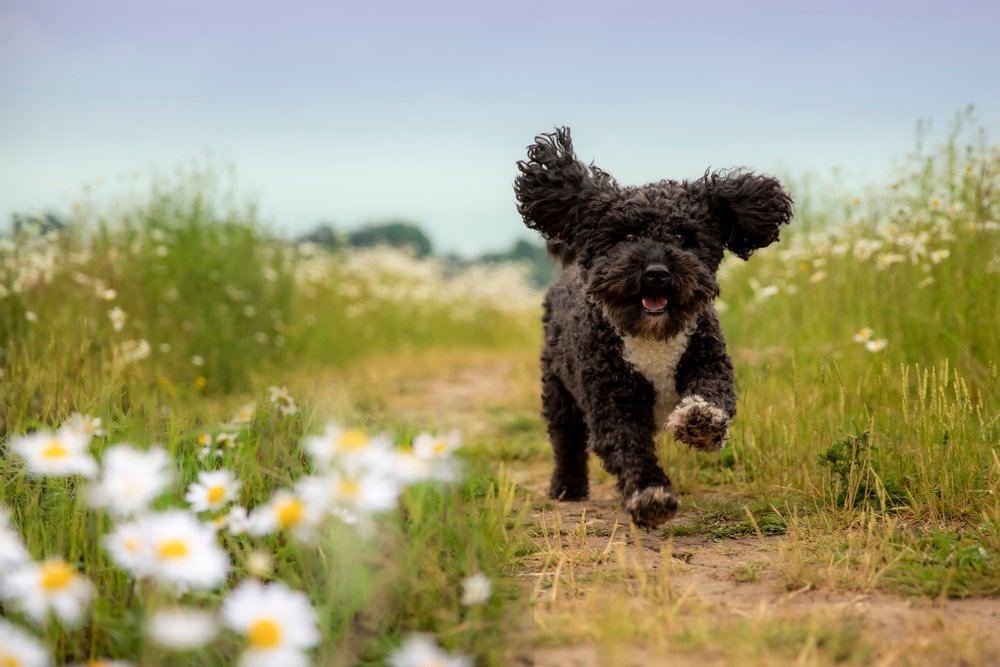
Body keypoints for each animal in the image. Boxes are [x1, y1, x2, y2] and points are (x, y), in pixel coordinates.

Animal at [516, 129, 788, 528]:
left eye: (683, 237)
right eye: (628, 236)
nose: (657, 273)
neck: (652, 336)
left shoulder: (708, 362)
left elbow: (712, 397)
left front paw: (700, 421)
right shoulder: (611, 398)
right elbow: (628, 447)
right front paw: (650, 495)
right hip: (558, 392)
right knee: (566, 442)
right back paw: (567, 489)